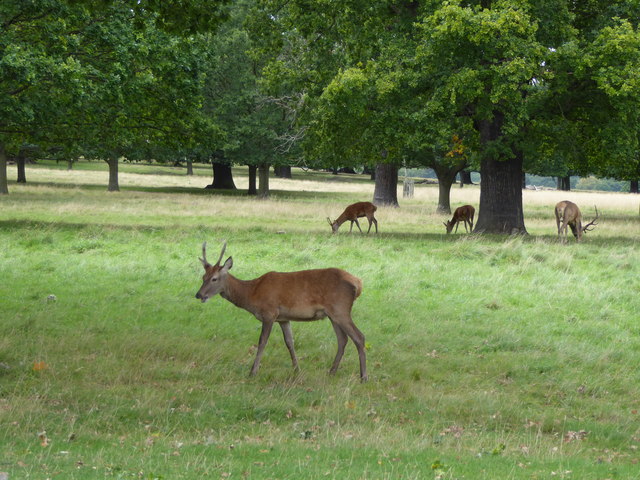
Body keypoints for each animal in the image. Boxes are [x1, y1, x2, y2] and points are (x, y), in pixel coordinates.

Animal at [192, 242, 368, 380]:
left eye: (214, 278)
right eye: (203, 277)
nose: (199, 294)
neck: (251, 294)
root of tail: (358, 283)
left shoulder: (269, 313)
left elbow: (262, 342)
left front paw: (253, 372)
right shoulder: (284, 318)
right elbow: (290, 342)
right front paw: (297, 370)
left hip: (340, 309)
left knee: (359, 337)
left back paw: (363, 376)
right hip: (333, 315)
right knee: (343, 339)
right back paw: (332, 372)